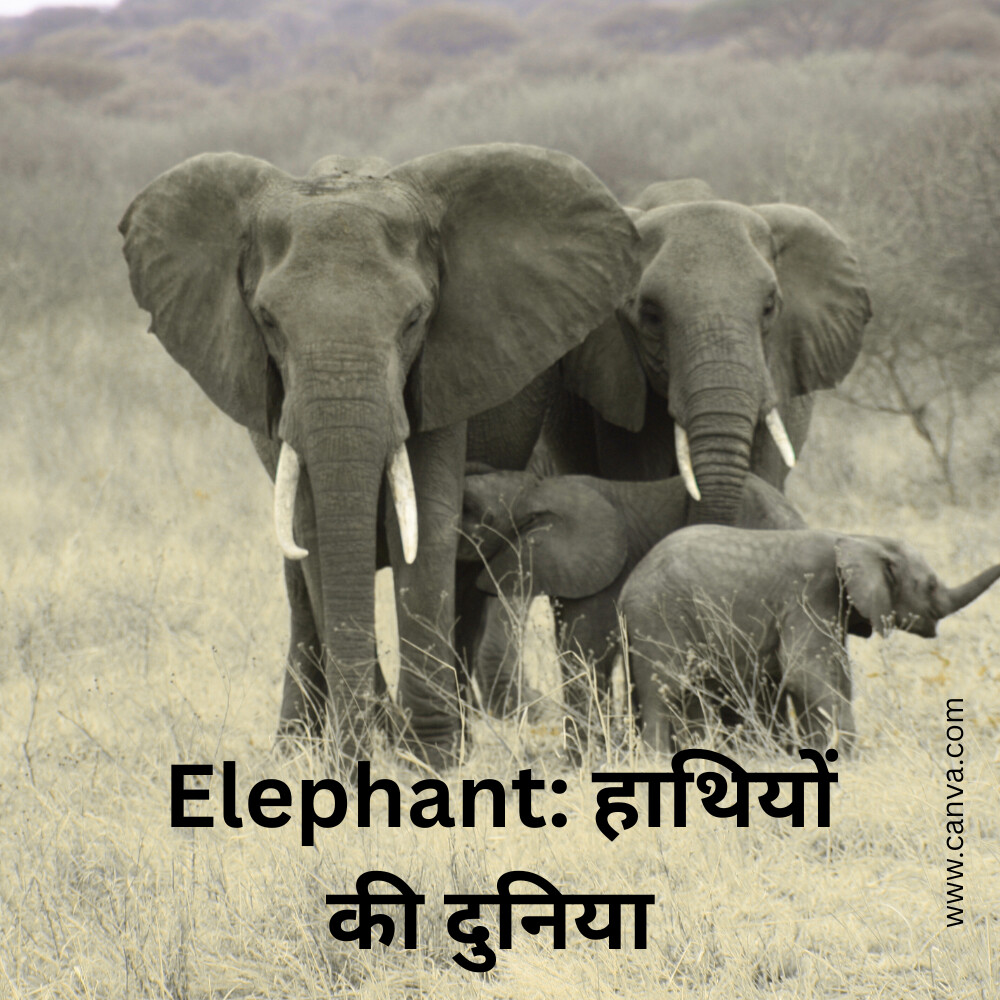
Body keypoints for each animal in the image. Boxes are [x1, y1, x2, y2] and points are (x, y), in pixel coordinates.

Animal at [119, 143, 638, 767]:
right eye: (267, 321)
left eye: (415, 318)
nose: (362, 752)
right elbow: (315, 534)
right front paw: (371, 751)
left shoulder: (444, 365)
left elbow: (427, 526)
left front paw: (432, 757)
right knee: (299, 585)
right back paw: (295, 748)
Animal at [620, 526, 1000, 754]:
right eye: (931, 585)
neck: (860, 538)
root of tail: (626, 589)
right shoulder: (810, 596)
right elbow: (804, 674)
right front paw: (844, 755)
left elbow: (826, 678)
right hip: (658, 617)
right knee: (665, 690)